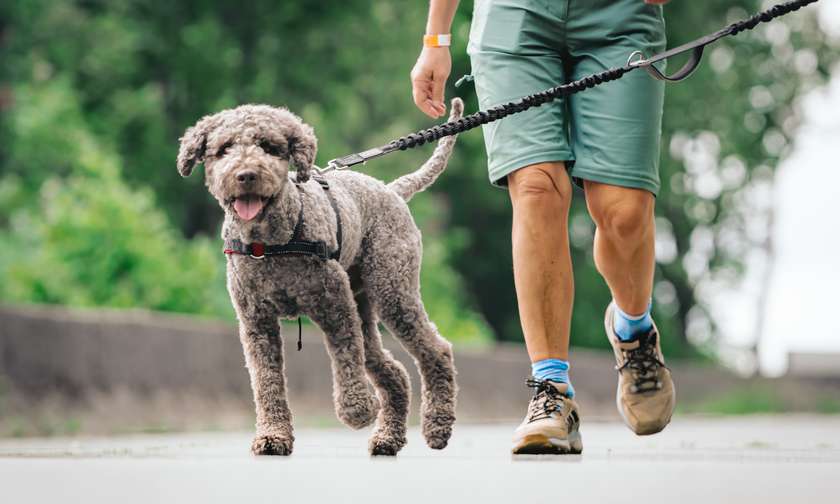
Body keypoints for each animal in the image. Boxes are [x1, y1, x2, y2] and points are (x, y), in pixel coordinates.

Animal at [179, 96, 466, 454]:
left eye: (269, 147)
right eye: (224, 148)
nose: (246, 175)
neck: (269, 242)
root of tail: (392, 189)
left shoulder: (335, 305)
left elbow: (345, 355)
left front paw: (357, 409)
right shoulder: (256, 322)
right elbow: (266, 380)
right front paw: (273, 435)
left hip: (392, 291)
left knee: (436, 350)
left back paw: (437, 426)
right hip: (364, 304)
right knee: (393, 370)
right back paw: (387, 438)